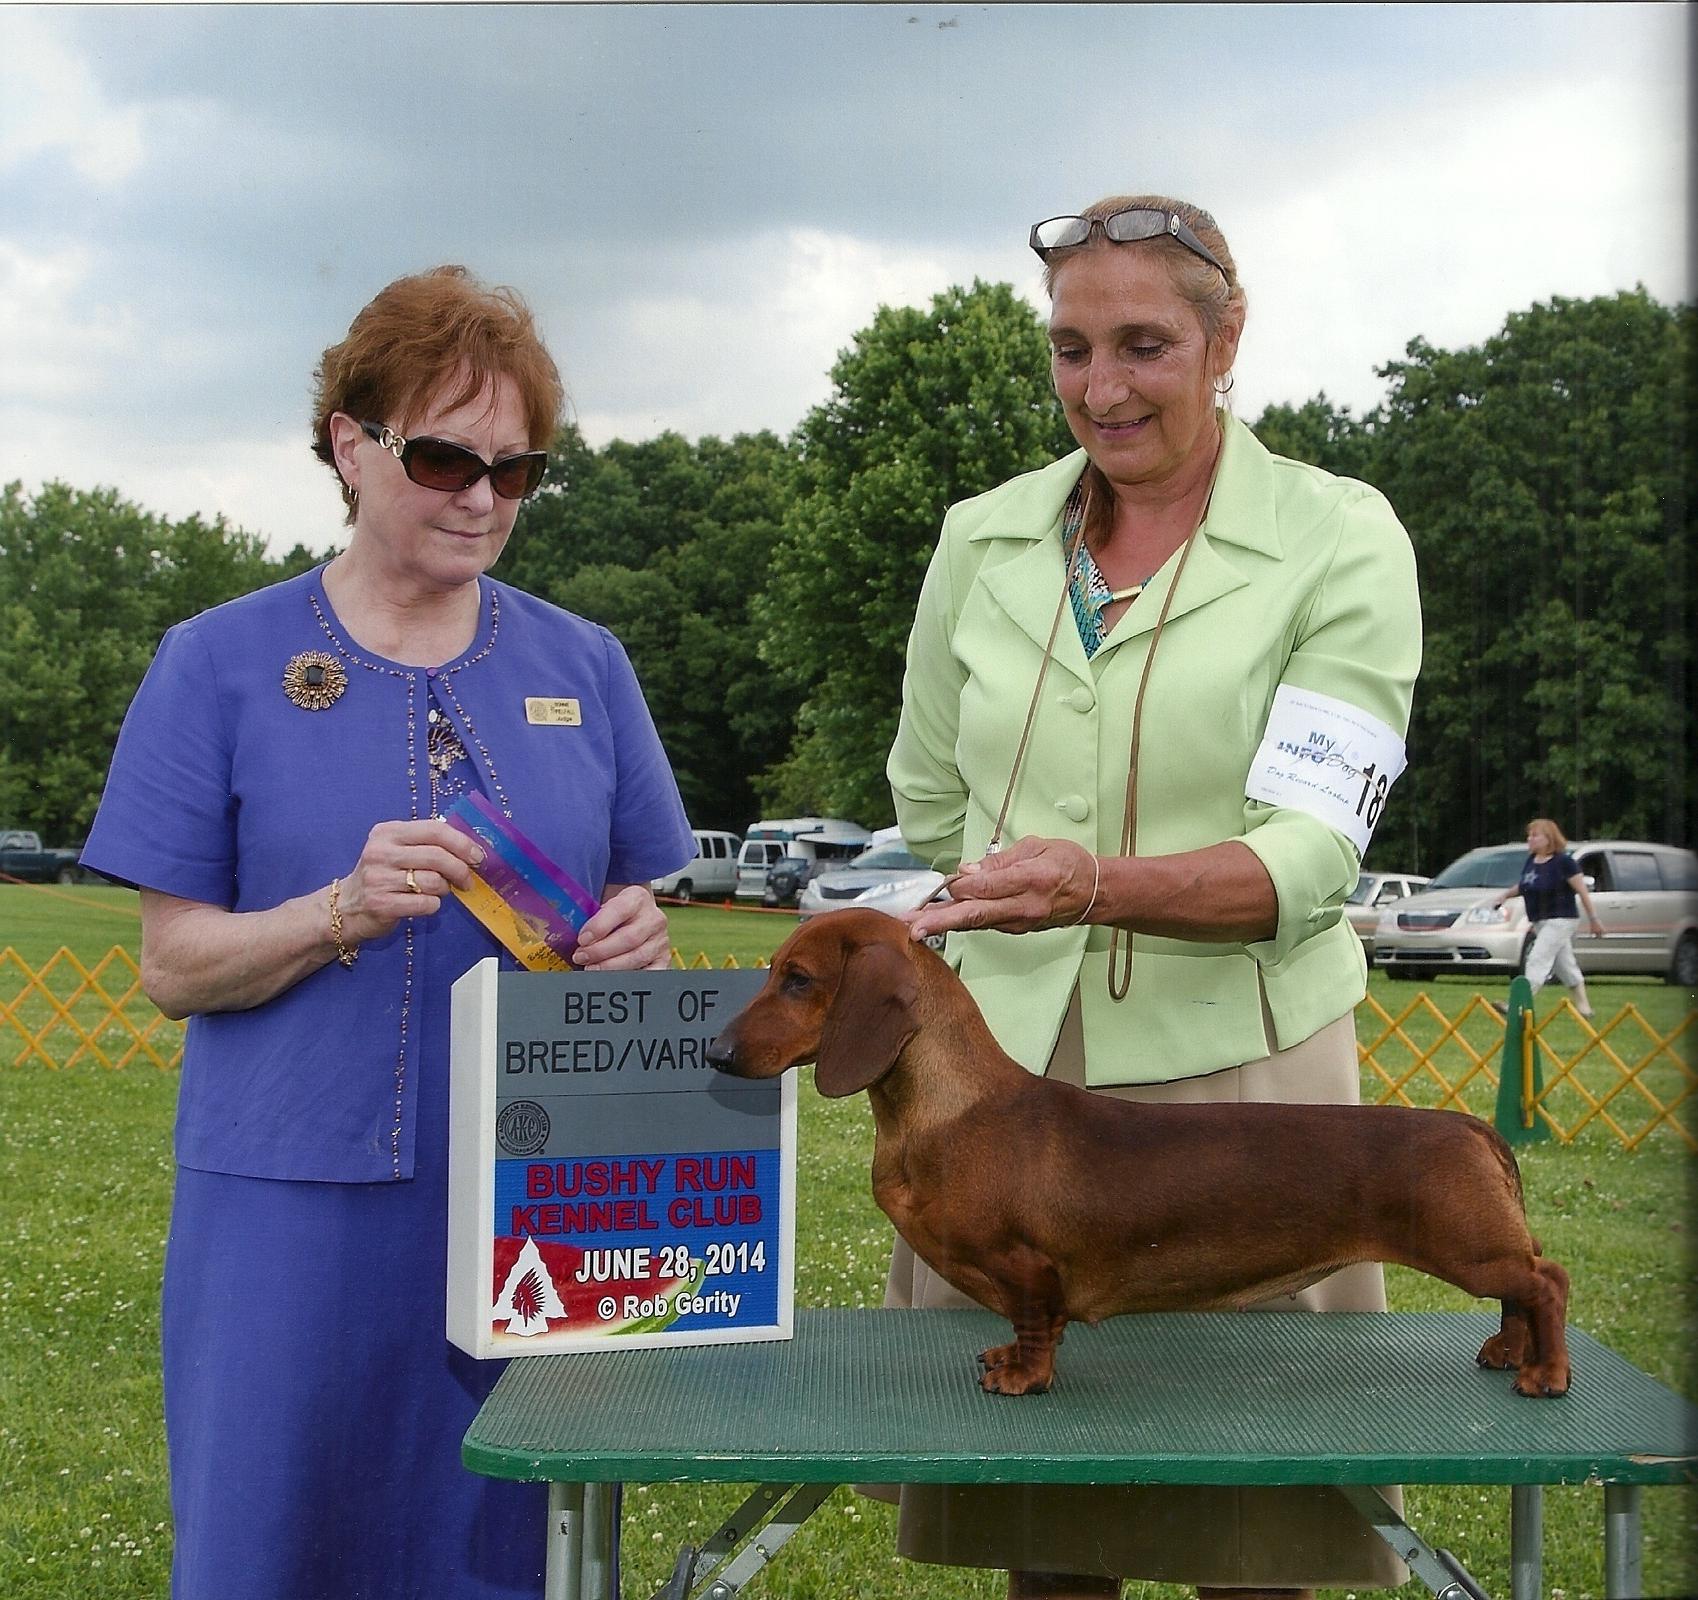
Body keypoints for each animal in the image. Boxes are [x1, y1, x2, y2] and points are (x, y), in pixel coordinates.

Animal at [706, 908, 1571, 1399]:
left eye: (797, 979)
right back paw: (1507, 1352)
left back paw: (1545, 1373)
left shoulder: (1029, 1268)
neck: (952, 1109)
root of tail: (1470, 1127)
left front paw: (1021, 1377)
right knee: (1523, 1291)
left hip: (1469, 1247)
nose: (713, 1052)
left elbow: (1036, 1326)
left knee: (1545, 1282)